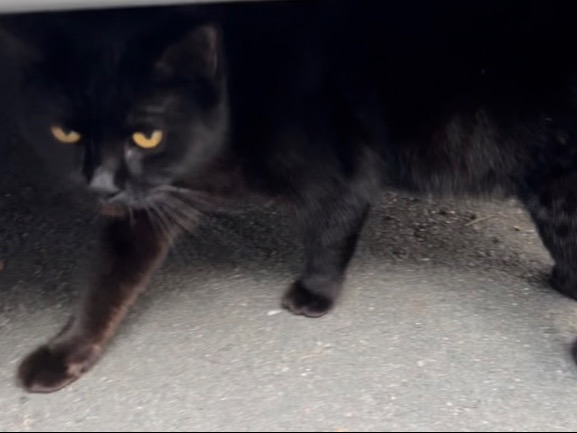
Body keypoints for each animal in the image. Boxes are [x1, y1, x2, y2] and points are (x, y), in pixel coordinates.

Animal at [4, 0, 577, 393]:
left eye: (146, 136)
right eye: (65, 133)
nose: (100, 184)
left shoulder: (345, 171)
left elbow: (329, 236)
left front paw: (314, 296)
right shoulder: (146, 206)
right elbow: (106, 284)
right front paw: (65, 351)